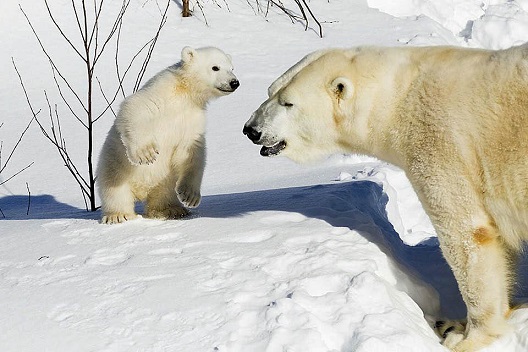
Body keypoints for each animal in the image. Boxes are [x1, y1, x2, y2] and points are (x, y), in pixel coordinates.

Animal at [98, 46, 238, 224]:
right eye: (215, 67)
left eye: (232, 68)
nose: (234, 82)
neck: (186, 91)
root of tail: (141, 190)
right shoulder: (162, 89)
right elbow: (136, 107)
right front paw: (146, 153)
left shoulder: (193, 115)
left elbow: (191, 149)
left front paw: (189, 196)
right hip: (115, 164)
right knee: (114, 188)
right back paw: (118, 215)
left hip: (164, 178)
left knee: (163, 193)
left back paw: (171, 210)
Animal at [243, 44, 528, 352]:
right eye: (270, 90)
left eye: (288, 103)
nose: (251, 130)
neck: (400, 100)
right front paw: (456, 323)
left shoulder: (442, 146)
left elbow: (467, 235)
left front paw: (462, 335)